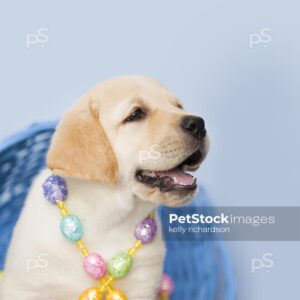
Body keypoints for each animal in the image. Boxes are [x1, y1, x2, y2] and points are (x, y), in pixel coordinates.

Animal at [0, 76, 209, 298]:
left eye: (178, 106)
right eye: (135, 114)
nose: (198, 123)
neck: (109, 217)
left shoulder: (143, 287)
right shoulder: (25, 288)